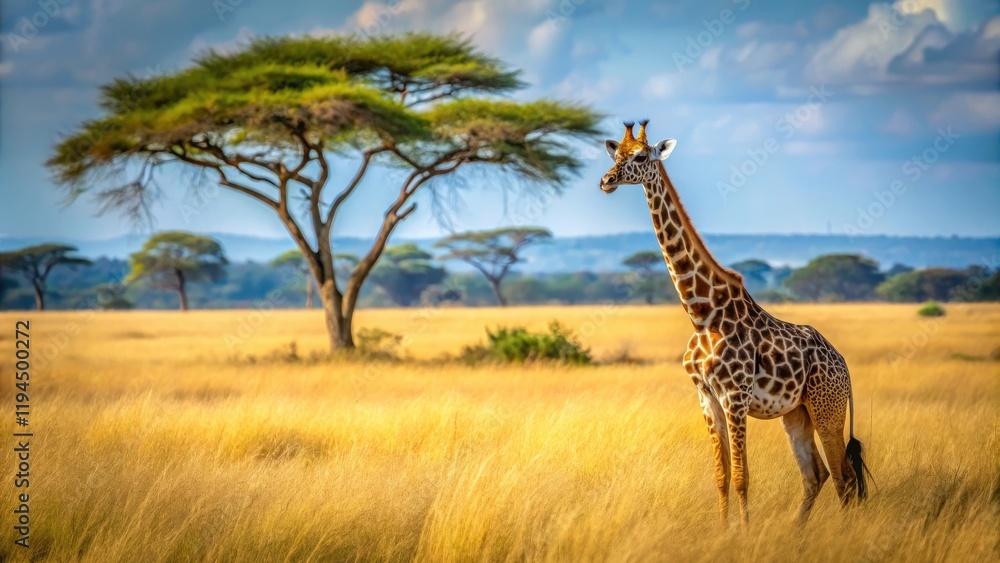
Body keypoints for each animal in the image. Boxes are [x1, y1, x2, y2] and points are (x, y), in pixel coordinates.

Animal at [599, 120, 869, 527]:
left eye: (642, 156)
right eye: (616, 154)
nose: (607, 180)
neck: (701, 313)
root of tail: (844, 366)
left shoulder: (735, 396)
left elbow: (743, 475)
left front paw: (743, 533)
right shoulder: (705, 396)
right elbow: (722, 474)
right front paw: (724, 531)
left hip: (828, 410)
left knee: (844, 476)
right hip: (797, 414)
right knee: (817, 474)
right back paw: (795, 531)